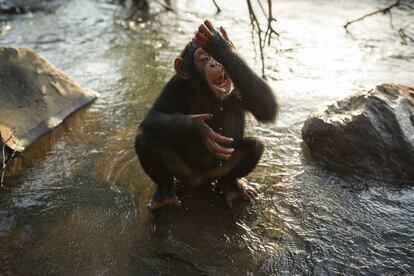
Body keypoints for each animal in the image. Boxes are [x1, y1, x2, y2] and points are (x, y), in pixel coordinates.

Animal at [136, 20, 278, 209]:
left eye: (215, 57)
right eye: (203, 58)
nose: (215, 63)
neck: (207, 92)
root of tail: (198, 180)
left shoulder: (237, 86)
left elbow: (266, 106)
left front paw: (219, 44)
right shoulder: (175, 85)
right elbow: (154, 116)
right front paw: (199, 129)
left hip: (218, 171)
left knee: (255, 146)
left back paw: (233, 187)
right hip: (183, 172)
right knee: (146, 141)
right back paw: (165, 194)